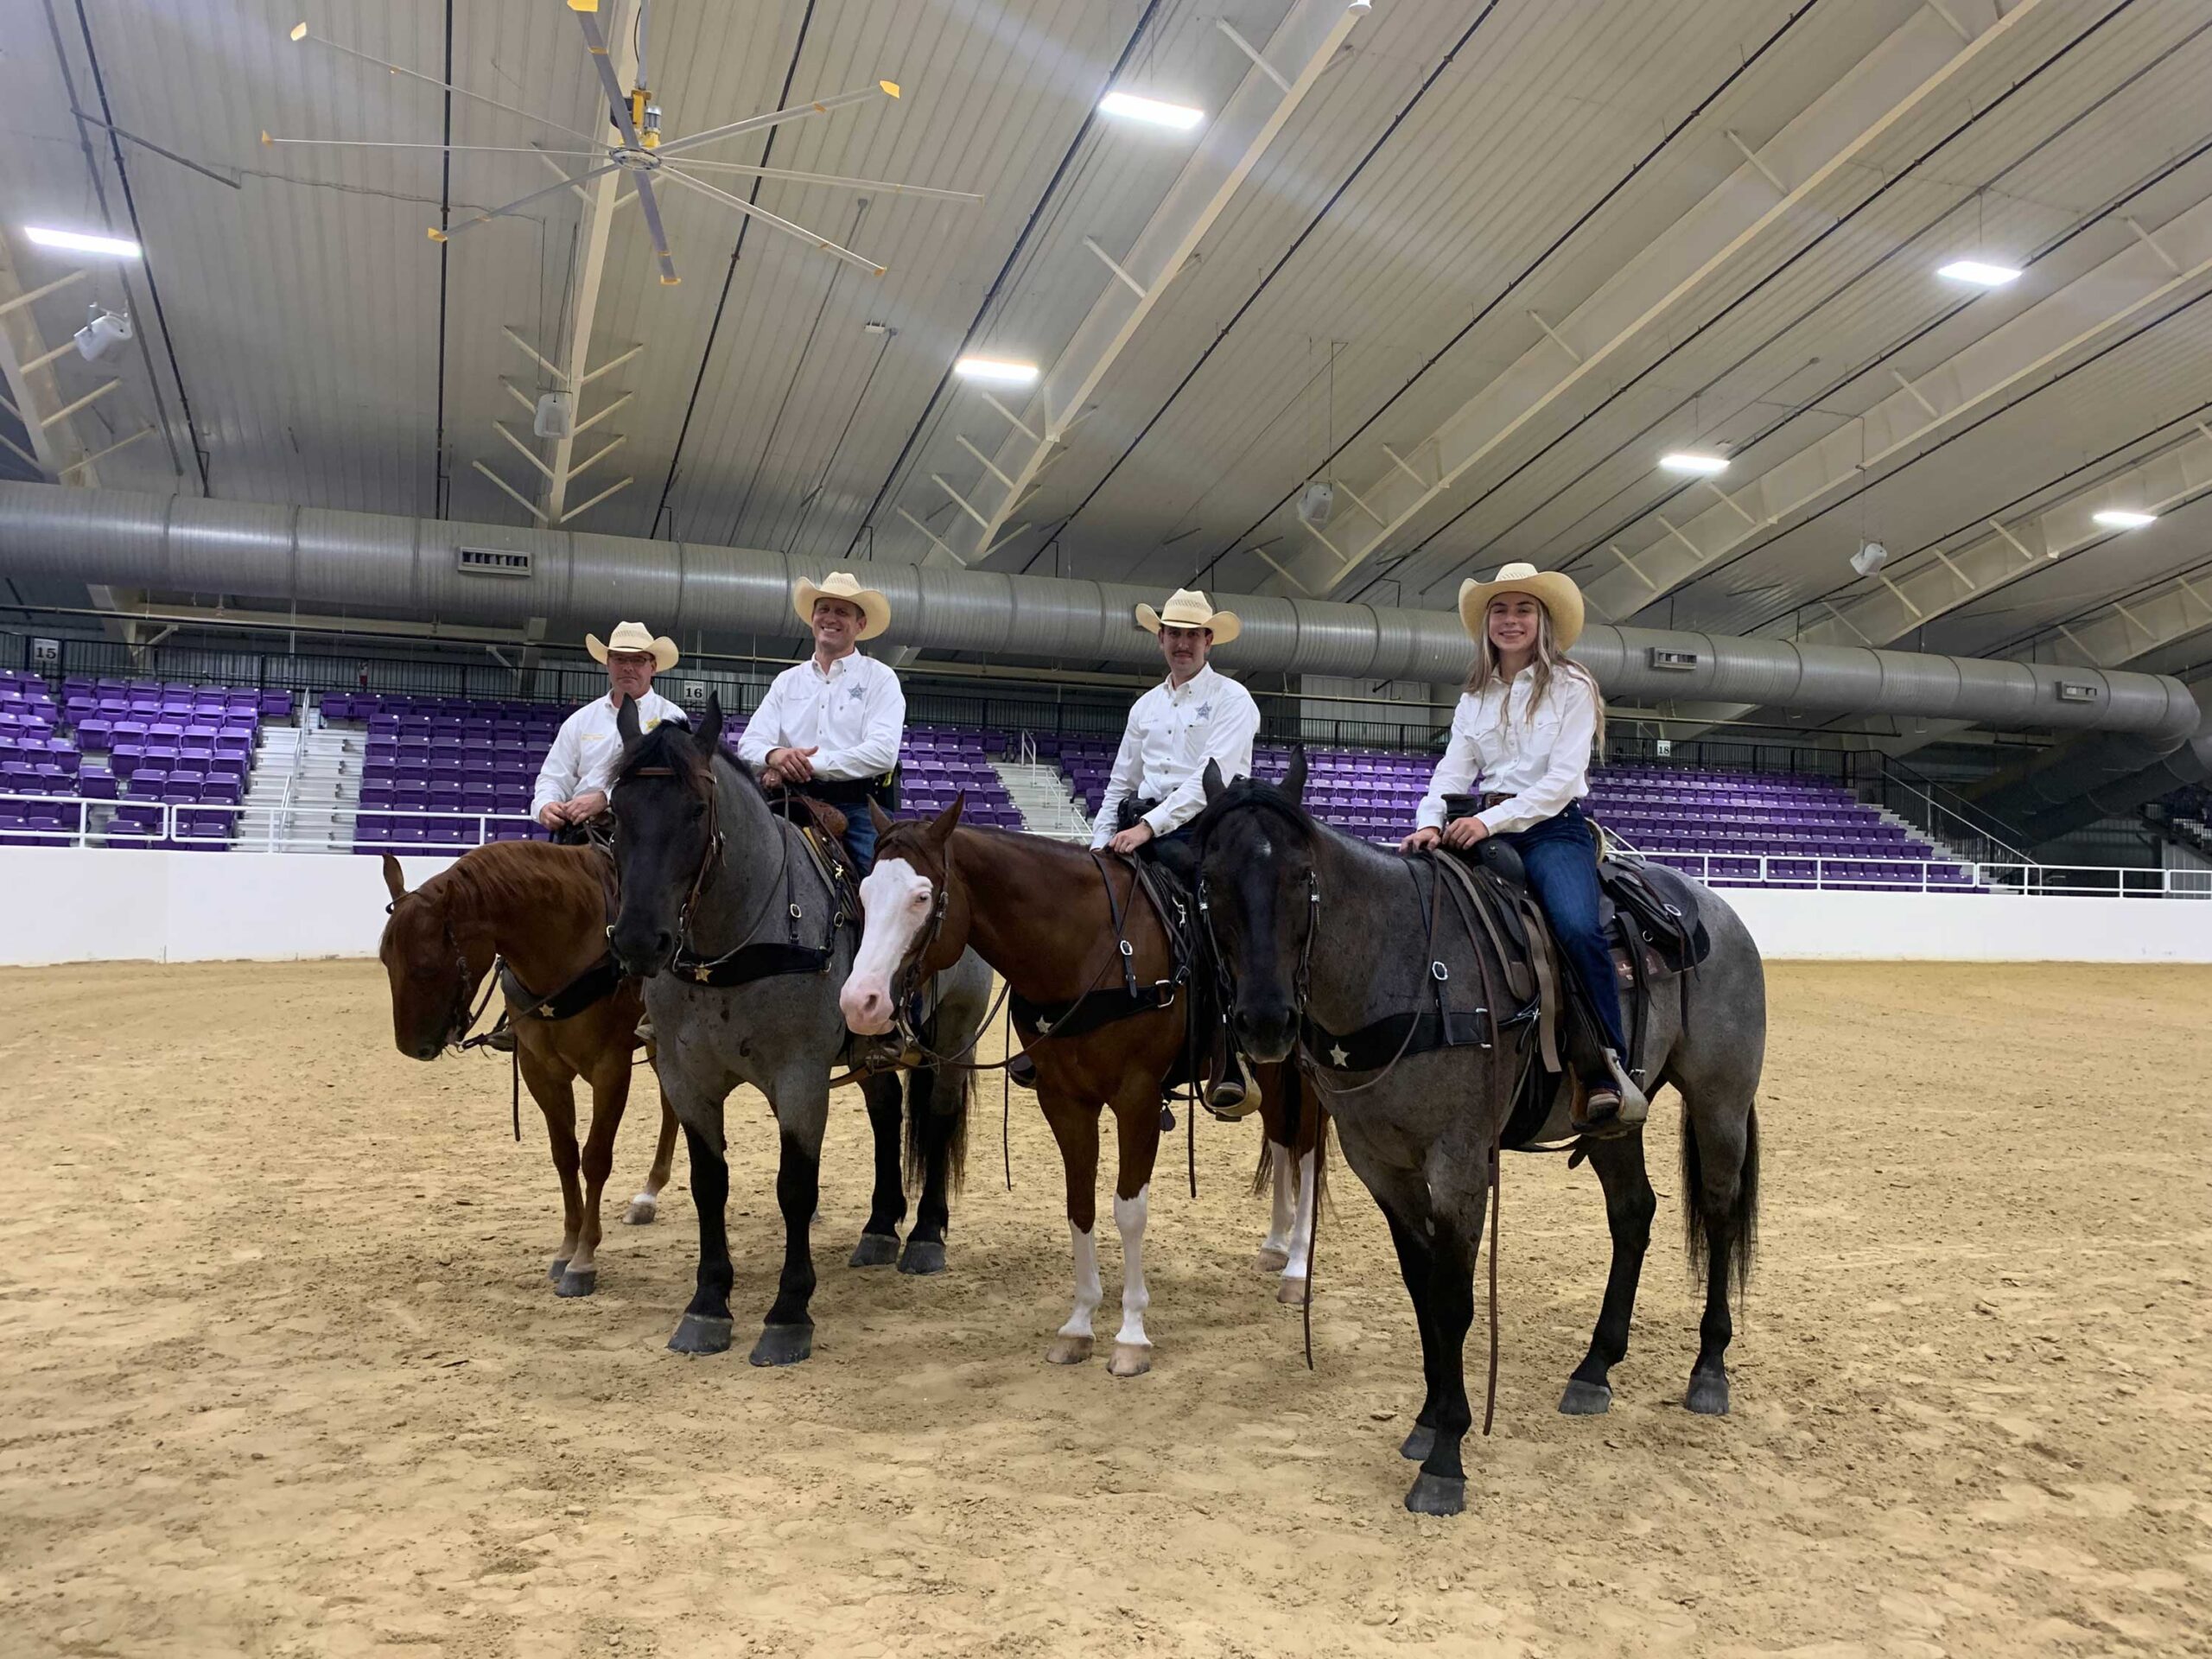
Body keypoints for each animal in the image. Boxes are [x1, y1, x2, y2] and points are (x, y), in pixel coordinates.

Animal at [376, 844, 677, 1300]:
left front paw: (583, 1260)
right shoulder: (540, 1070)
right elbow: (564, 1155)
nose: (411, 1046)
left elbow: (595, 1159)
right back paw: (647, 1195)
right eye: (384, 960)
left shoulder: (610, 1067)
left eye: (426, 966)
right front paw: (566, 1249)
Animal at [601, 694, 990, 1371]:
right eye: (617, 811)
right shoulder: (687, 1079)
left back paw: (924, 1235)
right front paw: (708, 1305)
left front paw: (788, 1313)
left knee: (938, 1118)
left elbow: (795, 1189)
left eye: (696, 809)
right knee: (887, 1113)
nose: (638, 940)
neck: (734, 946)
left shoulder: (800, 1080)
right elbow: (710, 1184)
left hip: (954, 1037)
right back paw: (880, 1227)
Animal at [836, 800, 1300, 1380]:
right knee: (1282, 1144)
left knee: (1304, 1148)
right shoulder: (1063, 1100)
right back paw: (1276, 1246)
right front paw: (1078, 1327)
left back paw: (1297, 1269)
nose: (860, 1002)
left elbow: (1129, 1211)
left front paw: (1131, 1336)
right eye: (865, 892)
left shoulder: (1136, 1100)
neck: (1091, 950)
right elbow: (1079, 1205)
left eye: (922, 896)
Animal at [1194, 760, 1760, 1530]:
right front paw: (1428, 1420)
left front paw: (1446, 1459)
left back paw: (1708, 1371)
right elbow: (1421, 1291)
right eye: (1210, 879)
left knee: (1721, 1212)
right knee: (1633, 1215)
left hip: (1720, 1101)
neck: (1403, 966)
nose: (1264, 1021)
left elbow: (1454, 1301)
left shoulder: (1459, 1165)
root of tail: (1714, 911)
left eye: (1299, 875)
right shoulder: (1384, 1167)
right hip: (1614, 1120)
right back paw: (1594, 1369)